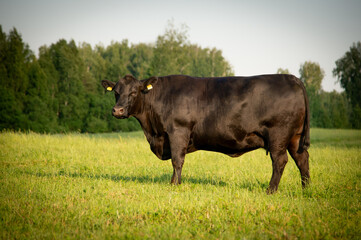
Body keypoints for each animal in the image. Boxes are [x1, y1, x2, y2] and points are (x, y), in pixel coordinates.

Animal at [101, 74, 310, 193]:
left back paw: (270, 190)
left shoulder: (178, 131)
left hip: (278, 135)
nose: (117, 110)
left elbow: (177, 160)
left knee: (280, 161)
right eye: (116, 92)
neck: (152, 131)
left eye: (134, 92)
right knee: (302, 159)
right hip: (294, 138)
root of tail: (291, 78)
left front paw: (174, 185)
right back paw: (305, 188)